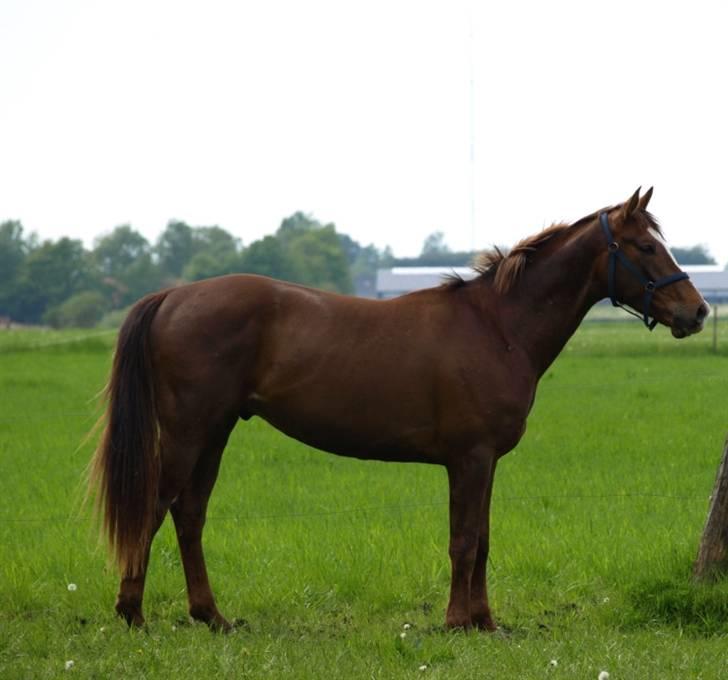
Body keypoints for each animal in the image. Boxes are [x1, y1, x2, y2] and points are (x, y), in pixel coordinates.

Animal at [89, 189, 704, 628]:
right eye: (646, 247)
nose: (696, 311)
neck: (497, 326)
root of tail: (173, 295)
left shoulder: (485, 462)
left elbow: (483, 538)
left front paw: (484, 621)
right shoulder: (469, 458)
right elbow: (464, 540)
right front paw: (457, 621)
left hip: (214, 433)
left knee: (189, 514)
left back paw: (211, 616)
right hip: (189, 433)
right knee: (154, 508)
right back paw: (133, 613)